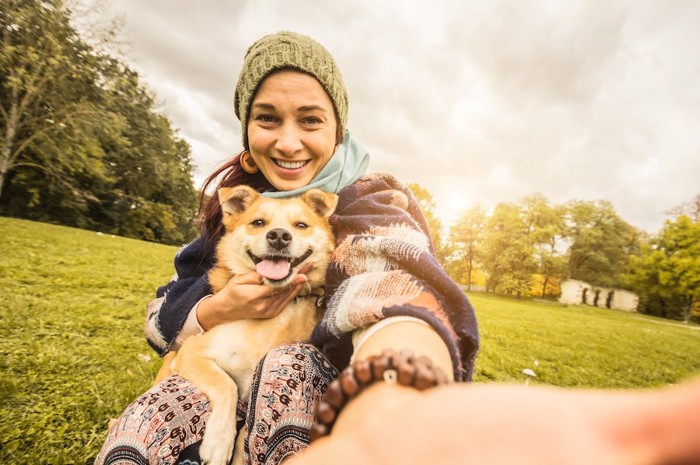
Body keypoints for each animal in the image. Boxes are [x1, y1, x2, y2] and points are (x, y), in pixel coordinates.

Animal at [158, 185, 336, 464]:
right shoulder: (192, 352)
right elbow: (226, 384)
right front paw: (219, 441)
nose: (279, 236)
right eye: (258, 223)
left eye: (301, 225)